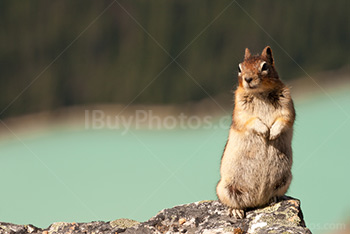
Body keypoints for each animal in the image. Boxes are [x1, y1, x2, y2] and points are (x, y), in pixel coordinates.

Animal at [216, 46, 296, 219]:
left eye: (264, 66)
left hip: (286, 179)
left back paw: (274, 198)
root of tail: (257, 202)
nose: (247, 79)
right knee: (234, 203)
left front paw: (273, 133)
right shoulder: (240, 110)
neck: (260, 93)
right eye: (239, 68)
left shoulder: (287, 104)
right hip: (225, 189)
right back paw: (236, 211)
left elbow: (285, 119)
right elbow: (249, 120)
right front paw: (265, 131)